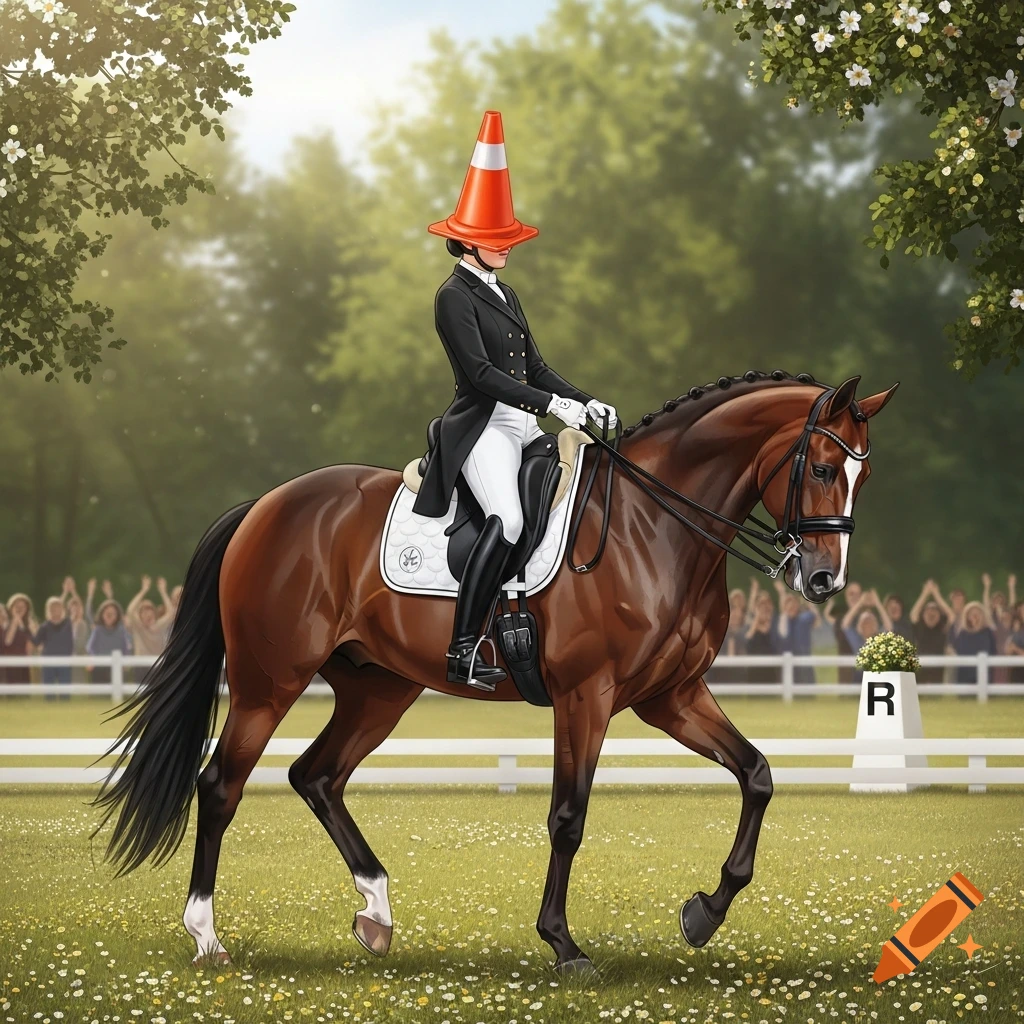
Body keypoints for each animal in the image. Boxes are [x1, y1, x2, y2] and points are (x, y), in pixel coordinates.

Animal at [94, 369, 897, 974]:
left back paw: (376, 913)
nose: (823, 581)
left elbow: (757, 774)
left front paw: (704, 913)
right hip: (270, 682)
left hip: (379, 688)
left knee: (316, 776)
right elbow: (568, 817)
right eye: (822, 468)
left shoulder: (672, 697)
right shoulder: (587, 696)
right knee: (221, 786)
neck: (653, 528)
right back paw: (207, 937)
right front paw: (564, 945)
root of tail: (266, 504)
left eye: (864, 476)